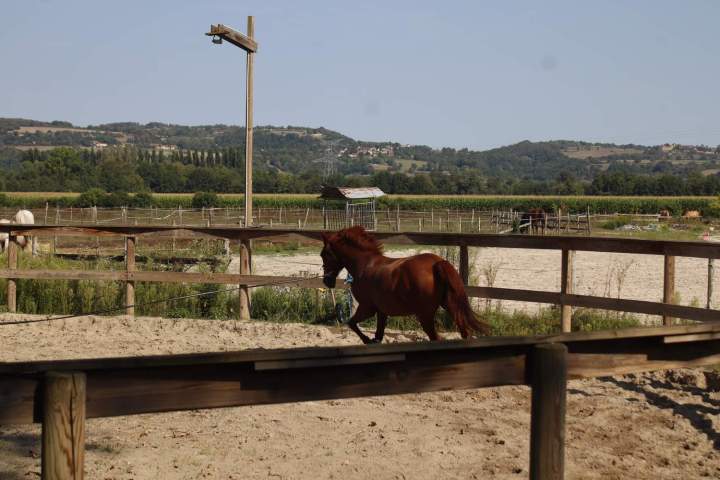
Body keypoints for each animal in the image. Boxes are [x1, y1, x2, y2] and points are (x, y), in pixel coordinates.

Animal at [320, 226, 490, 343]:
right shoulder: (382, 311)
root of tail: (437, 263)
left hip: (425, 315)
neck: (365, 265)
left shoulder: (367, 307)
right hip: (451, 306)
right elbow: (378, 335)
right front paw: (372, 340)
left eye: (324, 254)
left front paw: (367, 340)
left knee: (436, 338)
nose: (327, 281)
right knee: (464, 333)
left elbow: (351, 323)